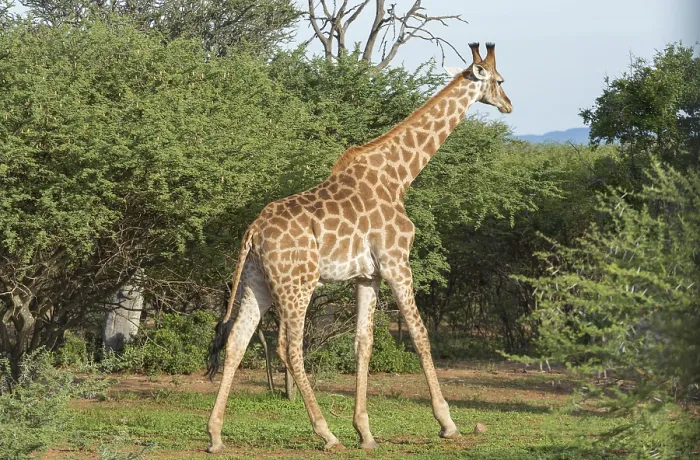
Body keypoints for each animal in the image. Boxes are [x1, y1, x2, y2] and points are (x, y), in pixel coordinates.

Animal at [205, 42, 512, 453]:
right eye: (499, 80)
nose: (508, 104)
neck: (398, 177)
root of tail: (252, 231)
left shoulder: (368, 275)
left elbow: (363, 343)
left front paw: (365, 432)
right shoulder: (397, 262)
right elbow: (419, 334)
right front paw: (447, 422)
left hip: (258, 281)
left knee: (237, 340)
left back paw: (215, 435)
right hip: (297, 284)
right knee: (289, 346)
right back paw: (326, 433)